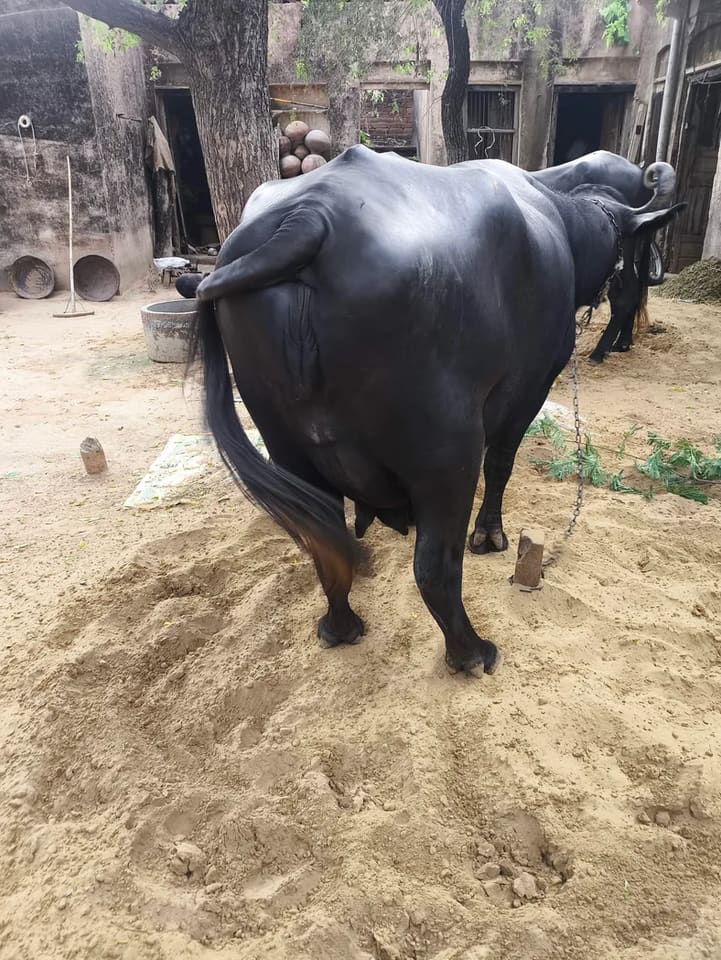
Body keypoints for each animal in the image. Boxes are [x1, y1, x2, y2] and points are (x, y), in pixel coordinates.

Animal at [192, 146, 682, 676]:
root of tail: (310, 218)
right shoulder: (529, 389)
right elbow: (502, 464)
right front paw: (489, 535)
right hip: (448, 453)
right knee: (434, 568)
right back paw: (471, 651)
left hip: (287, 448)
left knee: (326, 547)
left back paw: (341, 626)